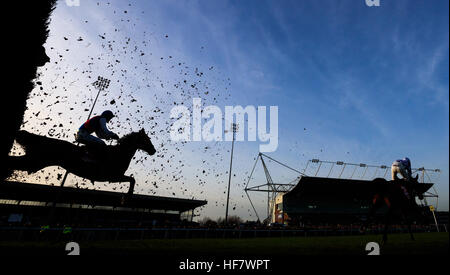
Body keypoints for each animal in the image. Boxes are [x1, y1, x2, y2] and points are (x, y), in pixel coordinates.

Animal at [7, 129, 156, 196]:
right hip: (34, 161)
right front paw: (128, 195)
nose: (153, 150)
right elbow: (132, 179)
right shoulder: (112, 176)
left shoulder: (114, 177)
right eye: (146, 139)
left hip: (34, 162)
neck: (119, 154)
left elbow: (131, 179)